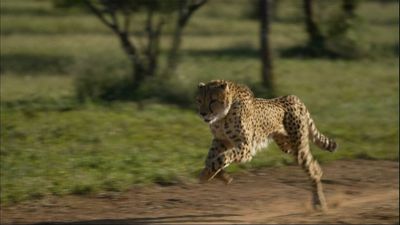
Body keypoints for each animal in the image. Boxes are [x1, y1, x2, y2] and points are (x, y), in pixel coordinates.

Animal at [197, 79, 338, 211]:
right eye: (199, 100)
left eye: (213, 100)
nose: (202, 113)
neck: (223, 116)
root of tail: (293, 97)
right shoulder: (221, 140)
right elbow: (210, 158)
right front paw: (218, 175)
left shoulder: (246, 147)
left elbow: (223, 157)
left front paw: (206, 174)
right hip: (286, 146)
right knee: (315, 165)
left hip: (298, 148)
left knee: (312, 169)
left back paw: (319, 203)